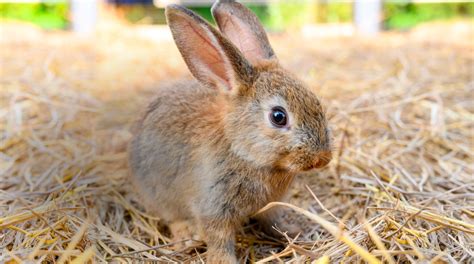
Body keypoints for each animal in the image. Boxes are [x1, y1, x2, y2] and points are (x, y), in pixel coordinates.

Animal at [128, 1, 332, 262]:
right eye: (278, 117)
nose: (323, 158)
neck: (244, 153)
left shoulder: (271, 205)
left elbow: (273, 222)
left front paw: (294, 232)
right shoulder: (213, 207)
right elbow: (219, 240)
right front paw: (223, 260)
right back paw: (186, 238)